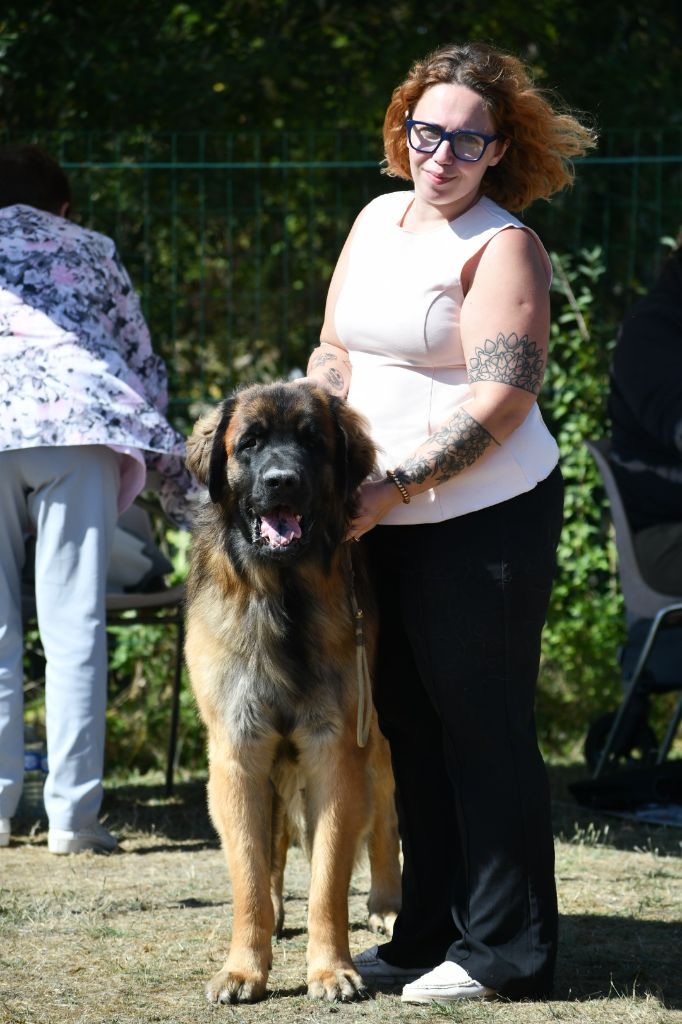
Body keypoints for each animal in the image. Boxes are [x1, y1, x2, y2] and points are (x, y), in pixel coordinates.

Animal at [184, 380, 401, 1004]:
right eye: (251, 443)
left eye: (311, 442)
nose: (282, 481)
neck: (279, 594)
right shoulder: (238, 751)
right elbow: (250, 874)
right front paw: (244, 969)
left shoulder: (335, 749)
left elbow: (329, 879)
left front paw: (331, 970)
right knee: (275, 843)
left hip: (378, 740)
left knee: (386, 821)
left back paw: (387, 904)